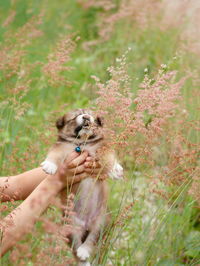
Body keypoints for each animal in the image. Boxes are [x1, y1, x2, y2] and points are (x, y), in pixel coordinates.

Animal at [41, 108, 122, 266]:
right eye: (75, 116)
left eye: (90, 114)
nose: (86, 117)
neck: (82, 143)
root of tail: (86, 225)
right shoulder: (61, 147)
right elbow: (54, 154)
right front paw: (49, 165)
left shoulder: (102, 148)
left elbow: (109, 156)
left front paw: (115, 169)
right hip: (69, 227)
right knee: (76, 247)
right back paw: (82, 258)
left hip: (102, 221)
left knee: (92, 240)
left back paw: (84, 251)